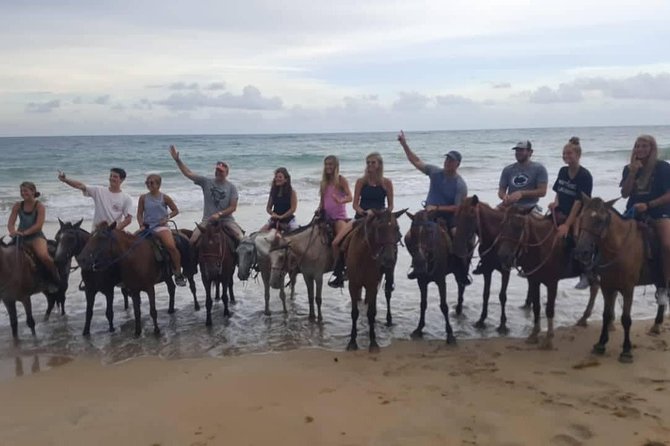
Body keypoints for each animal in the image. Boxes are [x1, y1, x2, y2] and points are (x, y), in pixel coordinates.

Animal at [346, 209, 404, 352]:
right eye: (380, 229)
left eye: (397, 229)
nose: (389, 259)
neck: (363, 256)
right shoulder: (353, 285)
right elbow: (354, 313)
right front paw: (352, 341)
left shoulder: (372, 284)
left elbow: (371, 313)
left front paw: (373, 342)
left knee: (387, 293)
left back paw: (389, 320)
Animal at [406, 211, 464, 344]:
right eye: (412, 232)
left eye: (429, 232)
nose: (419, 263)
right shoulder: (421, 281)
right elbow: (423, 304)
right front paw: (419, 328)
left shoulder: (441, 281)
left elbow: (444, 306)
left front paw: (450, 334)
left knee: (461, 284)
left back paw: (459, 308)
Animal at [494, 209, 604, 348]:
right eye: (502, 225)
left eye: (518, 227)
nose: (502, 255)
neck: (541, 249)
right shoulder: (534, 281)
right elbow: (536, 307)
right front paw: (534, 334)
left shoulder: (552, 283)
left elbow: (549, 309)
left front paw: (548, 339)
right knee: (595, 287)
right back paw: (584, 318)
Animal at [572, 197, 668, 360]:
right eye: (581, 217)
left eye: (600, 220)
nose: (581, 252)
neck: (619, 247)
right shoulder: (607, 286)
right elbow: (606, 315)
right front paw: (601, 344)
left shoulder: (628, 288)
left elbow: (626, 319)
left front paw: (626, 350)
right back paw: (656, 325)